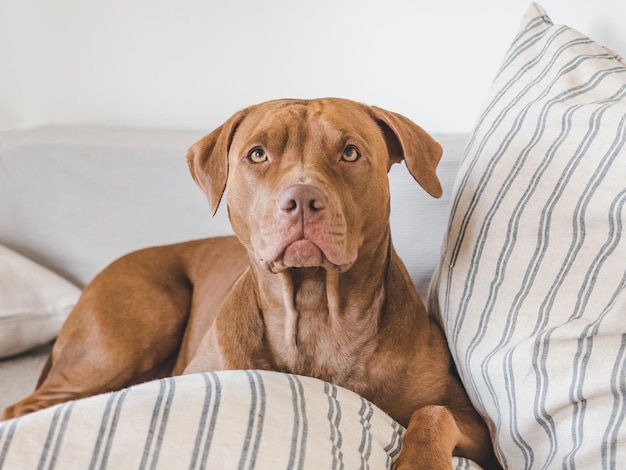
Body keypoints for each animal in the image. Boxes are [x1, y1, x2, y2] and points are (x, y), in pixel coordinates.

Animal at [1, 97, 498, 468]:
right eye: (258, 154)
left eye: (350, 152)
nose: (302, 199)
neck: (315, 313)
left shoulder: (473, 423)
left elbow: (433, 414)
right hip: (127, 333)